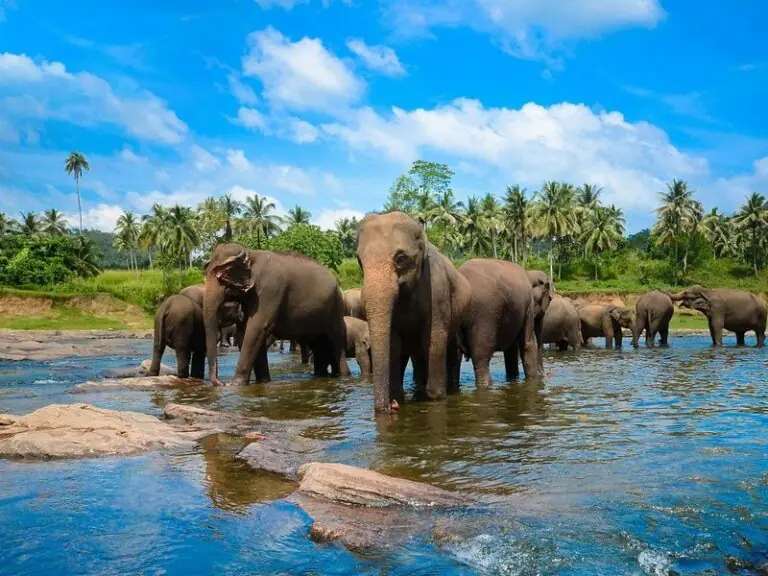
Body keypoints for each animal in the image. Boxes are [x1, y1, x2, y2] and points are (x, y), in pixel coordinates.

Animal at [202, 243, 349, 386]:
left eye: (225, 276)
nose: (221, 383)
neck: (251, 254)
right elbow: (247, 330)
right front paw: (263, 381)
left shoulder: (270, 289)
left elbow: (257, 327)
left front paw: (235, 384)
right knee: (318, 345)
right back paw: (321, 376)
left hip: (336, 310)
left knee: (336, 344)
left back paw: (343, 376)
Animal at [357, 211, 471, 413]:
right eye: (359, 261)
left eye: (401, 258)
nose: (391, 406)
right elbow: (394, 344)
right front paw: (397, 396)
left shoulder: (438, 291)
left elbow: (434, 339)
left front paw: (436, 398)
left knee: (449, 350)